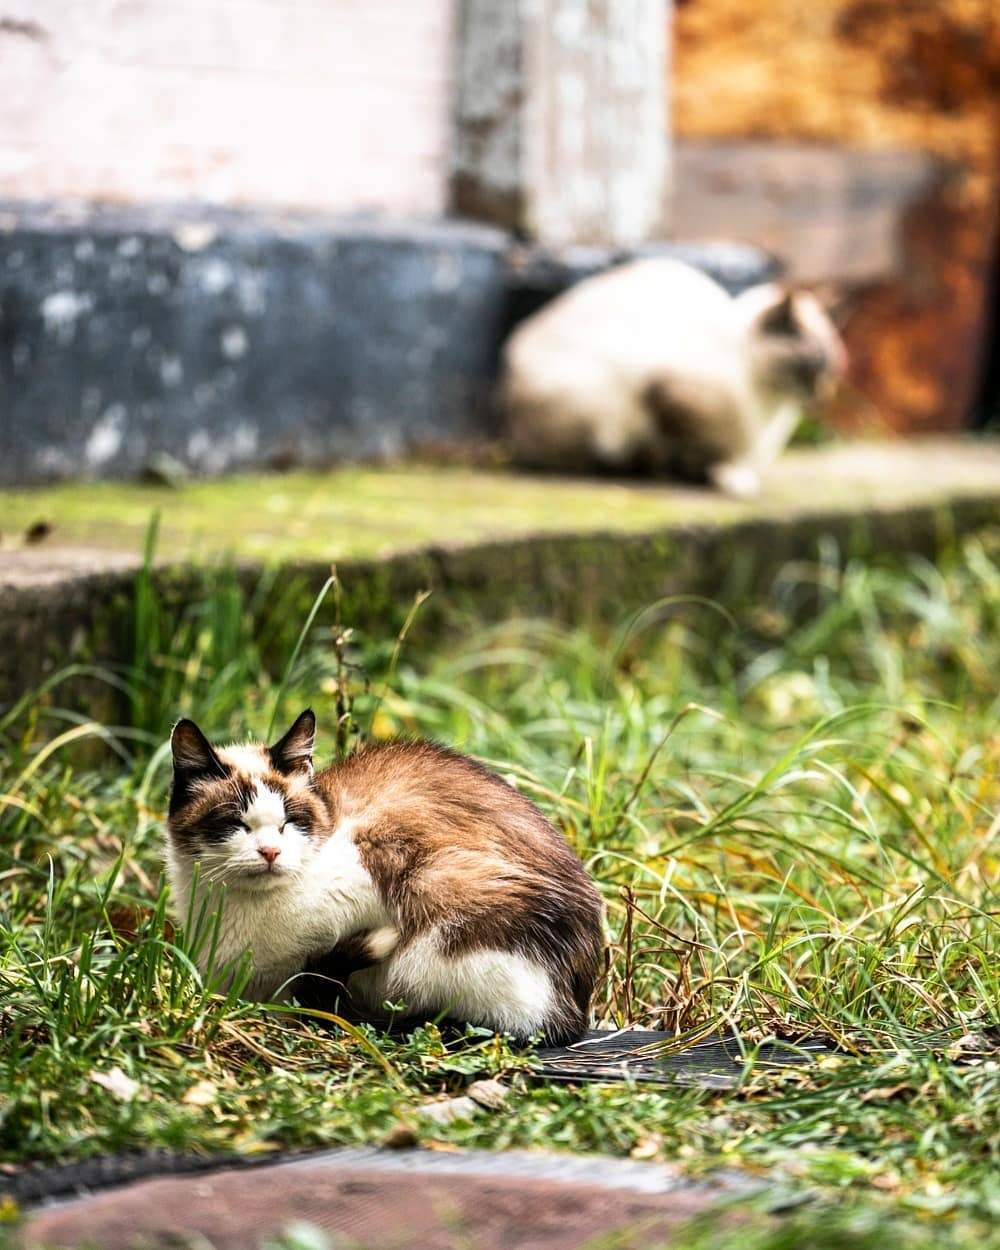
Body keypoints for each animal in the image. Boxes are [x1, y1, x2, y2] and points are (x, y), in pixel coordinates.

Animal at [166, 715, 602, 1045]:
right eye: (234, 823)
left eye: (290, 822)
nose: (271, 852)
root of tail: (575, 1013)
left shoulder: (379, 859)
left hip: (441, 916)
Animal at [500, 256, 845, 495]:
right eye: (814, 365)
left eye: (833, 368)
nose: (823, 395)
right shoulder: (669, 398)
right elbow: (702, 455)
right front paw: (725, 478)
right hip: (595, 400)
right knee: (593, 458)